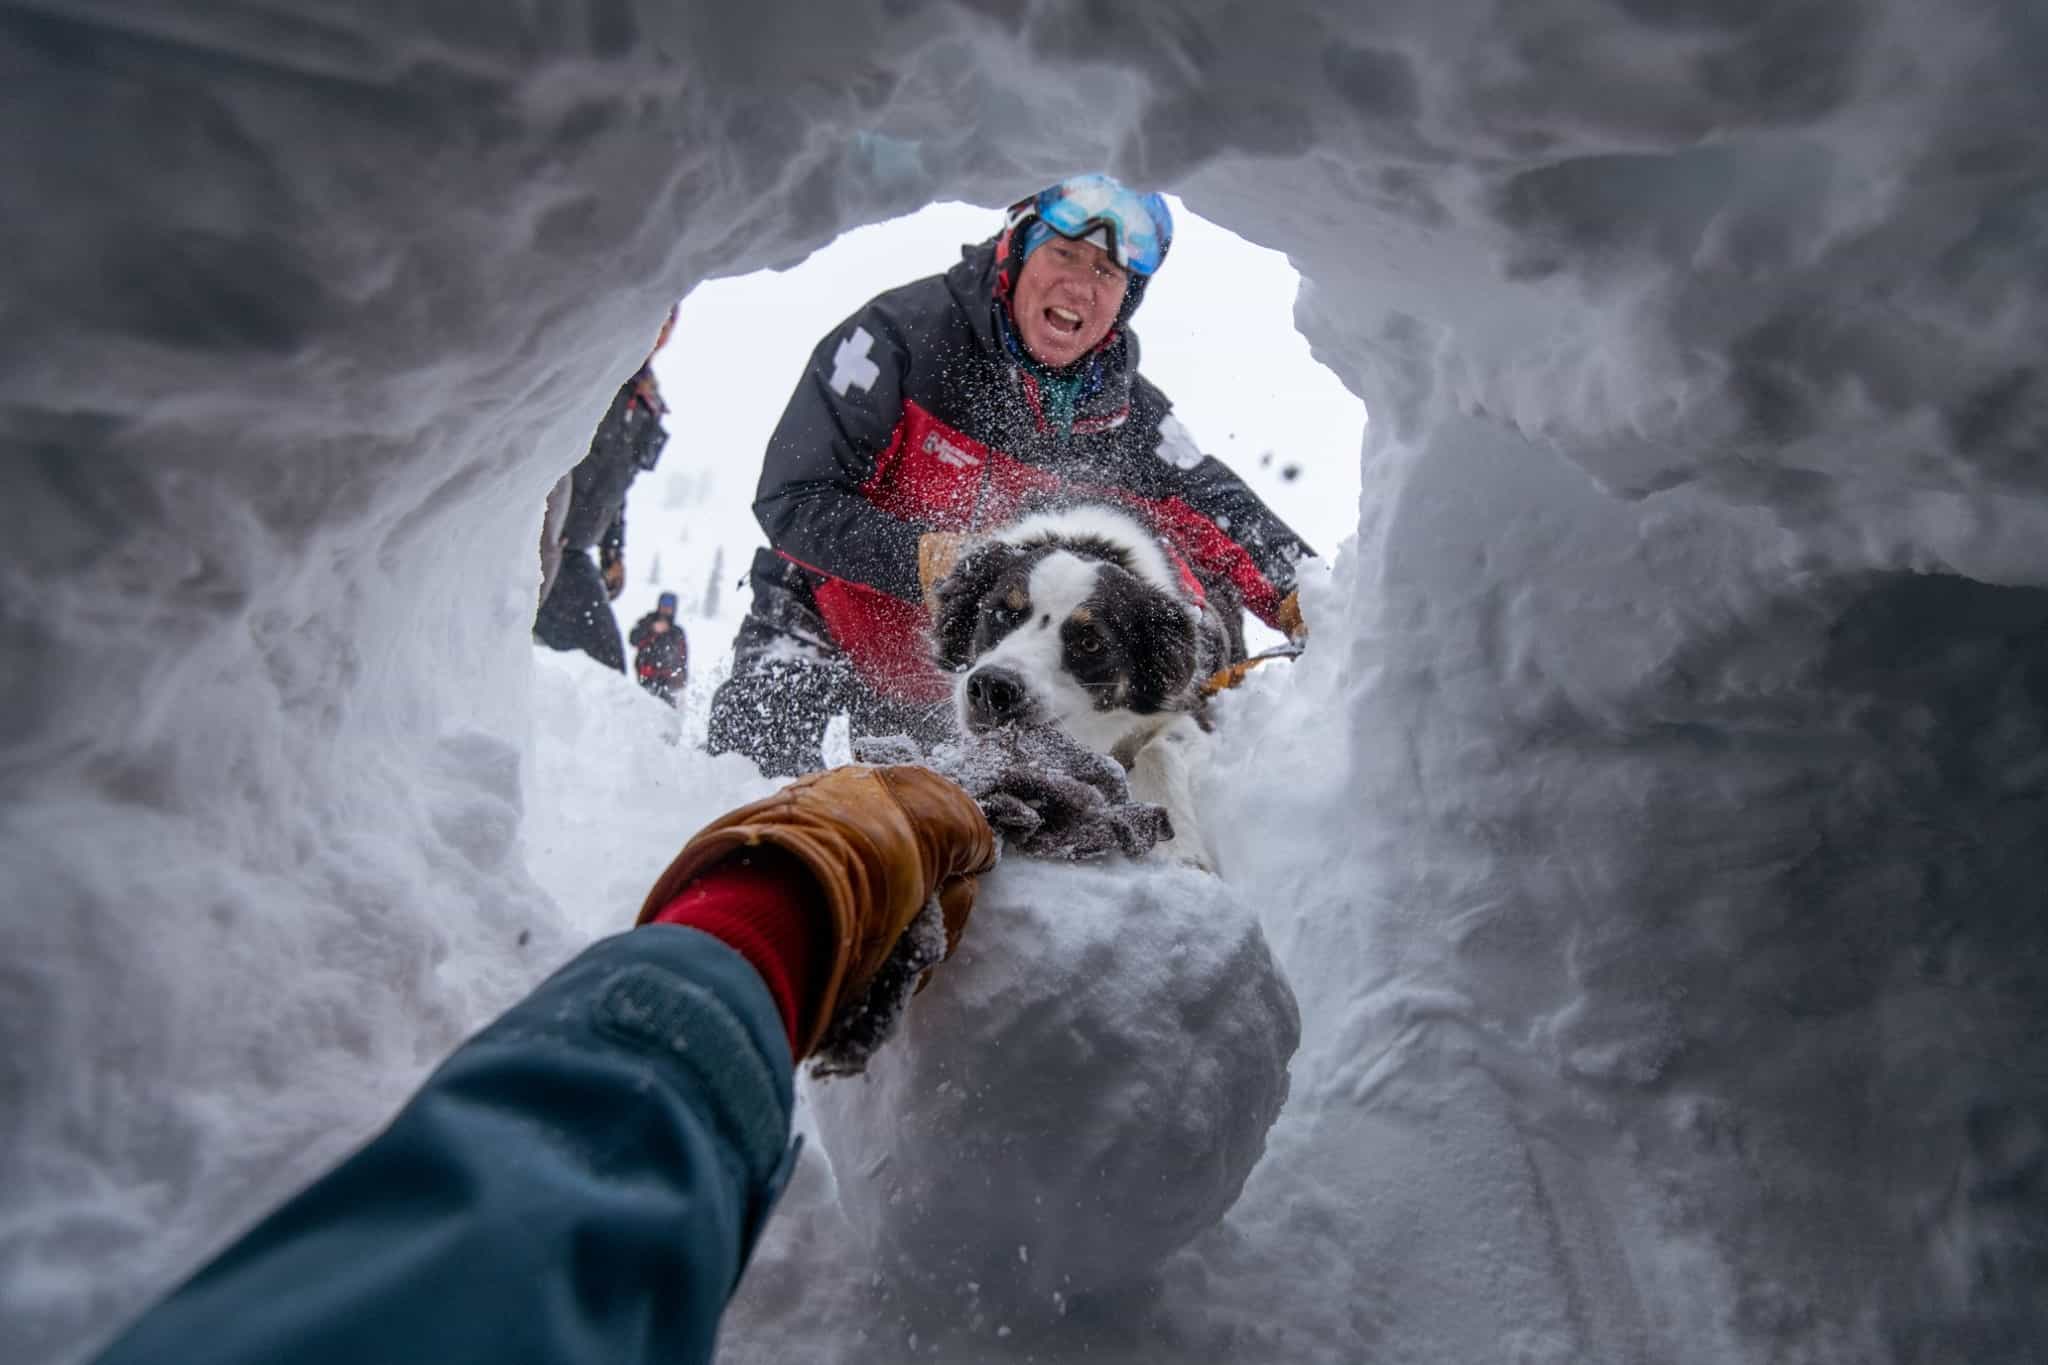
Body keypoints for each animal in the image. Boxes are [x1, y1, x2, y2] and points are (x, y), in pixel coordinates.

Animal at [933, 507, 1245, 871]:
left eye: (1090, 642)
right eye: (1000, 613)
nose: (992, 688)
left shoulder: (1189, 708)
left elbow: (1159, 750)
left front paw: (1182, 852)